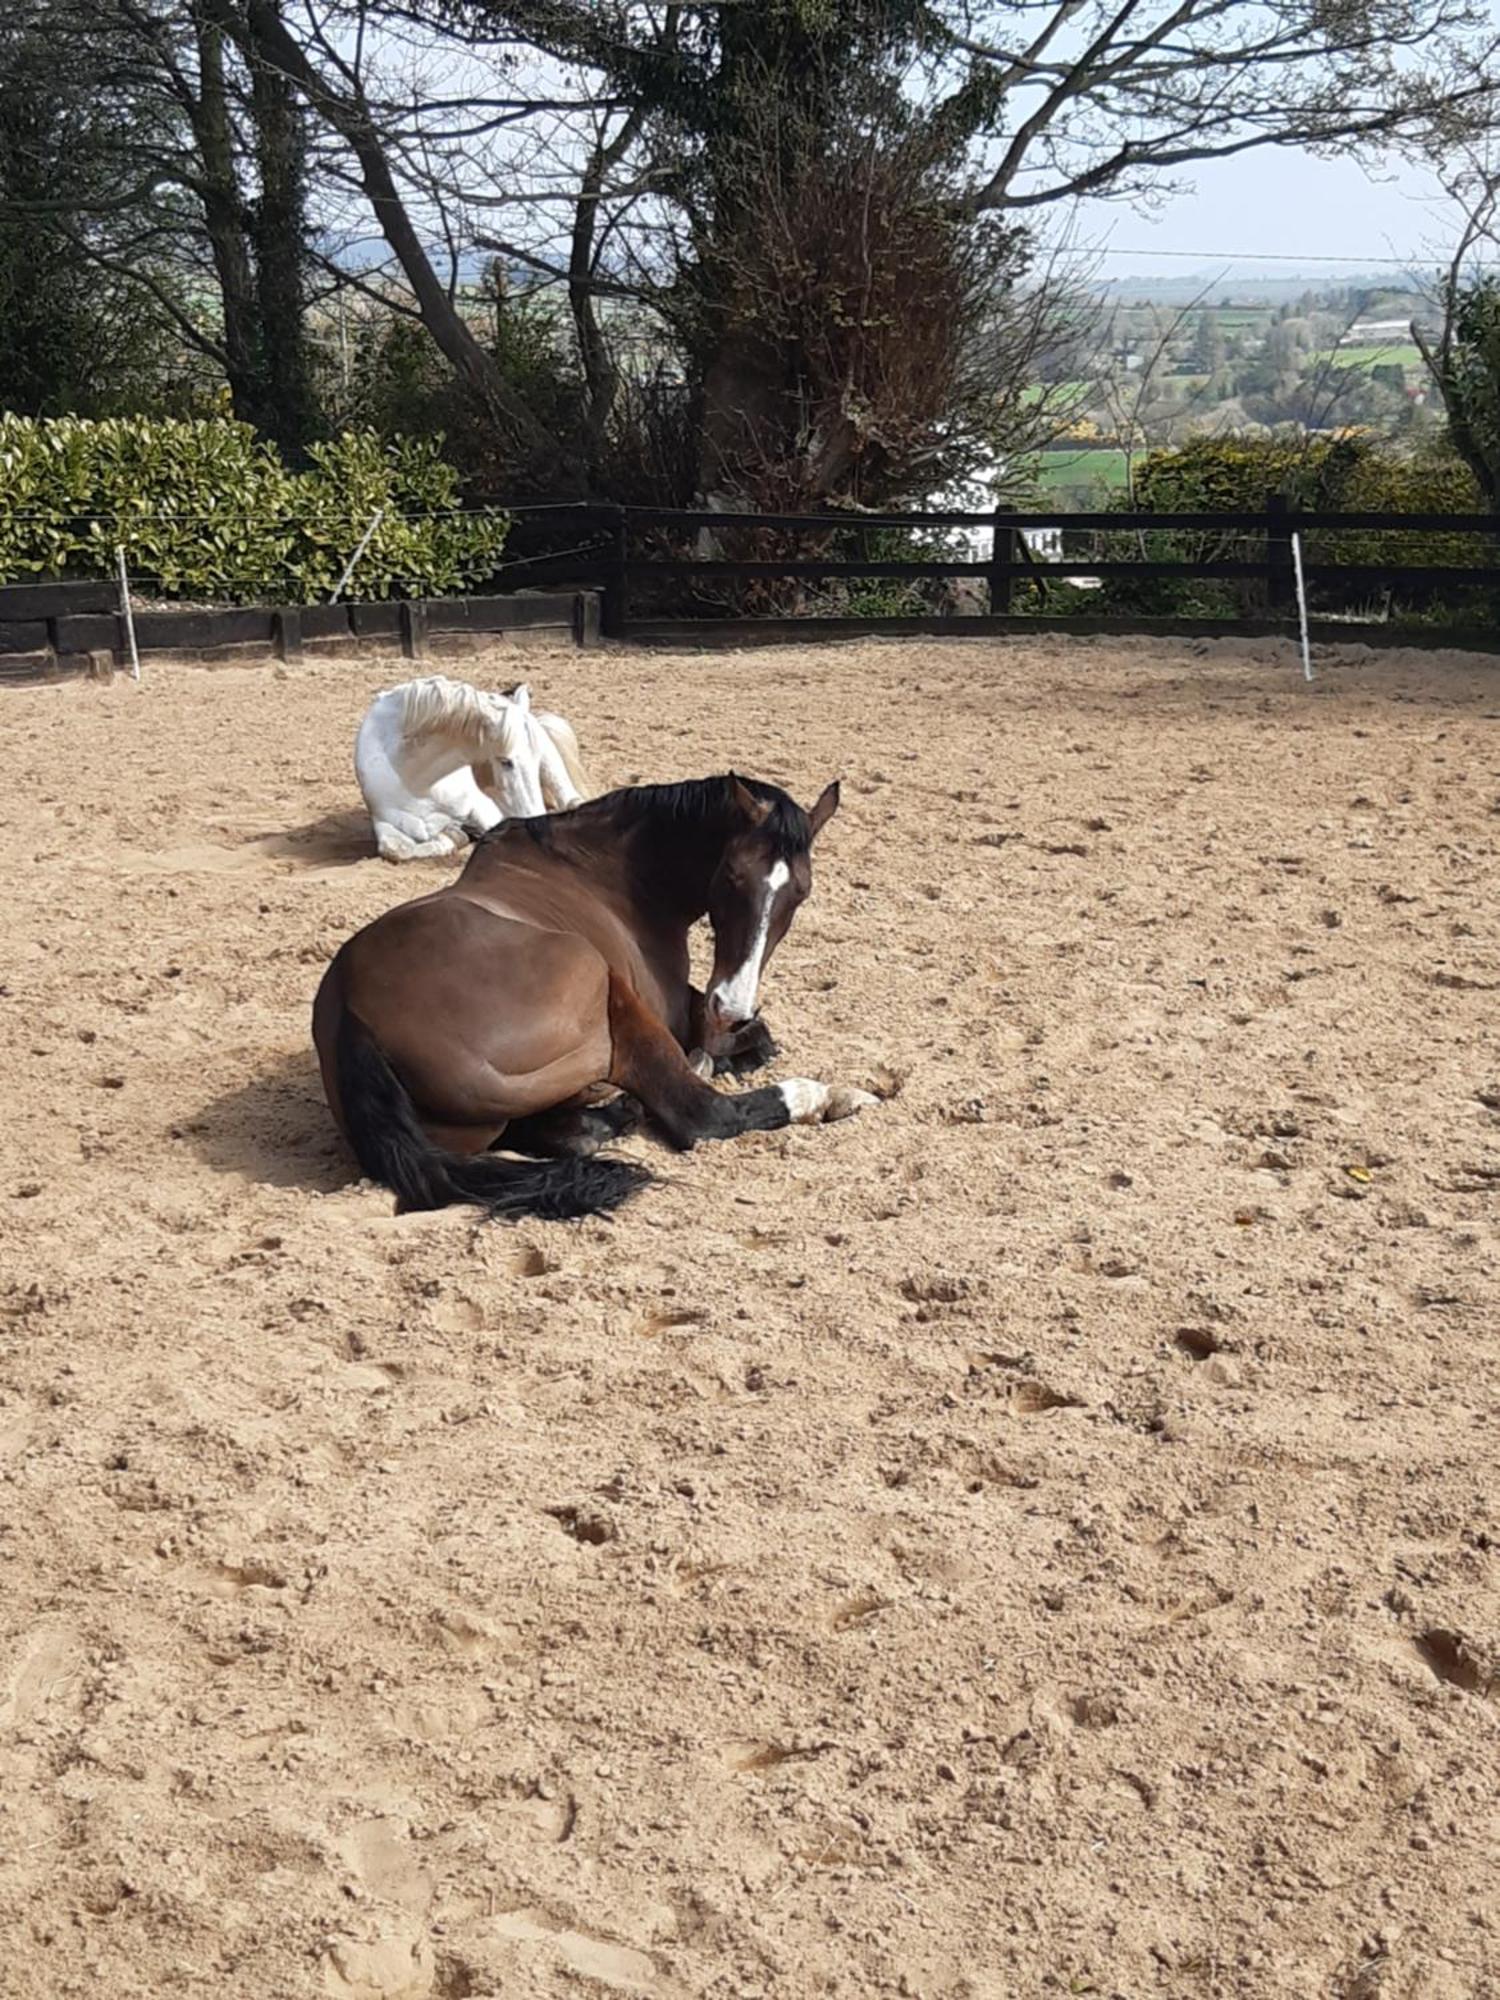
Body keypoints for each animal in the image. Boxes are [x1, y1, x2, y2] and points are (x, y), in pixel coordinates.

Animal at [314, 772, 880, 1216]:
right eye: (732, 875)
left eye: (800, 893)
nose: (732, 1007)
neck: (610, 873)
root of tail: (353, 1011)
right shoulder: (670, 1009)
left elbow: (759, 1036)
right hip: (602, 983)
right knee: (700, 1112)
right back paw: (825, 1094)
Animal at [356, 680, 592, 860]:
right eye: (506, 762)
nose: (536, 824)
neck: (418, 783)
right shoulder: (384, 822)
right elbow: (395, 849)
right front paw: (455, 836)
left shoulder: (484, 808)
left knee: (569, 796)